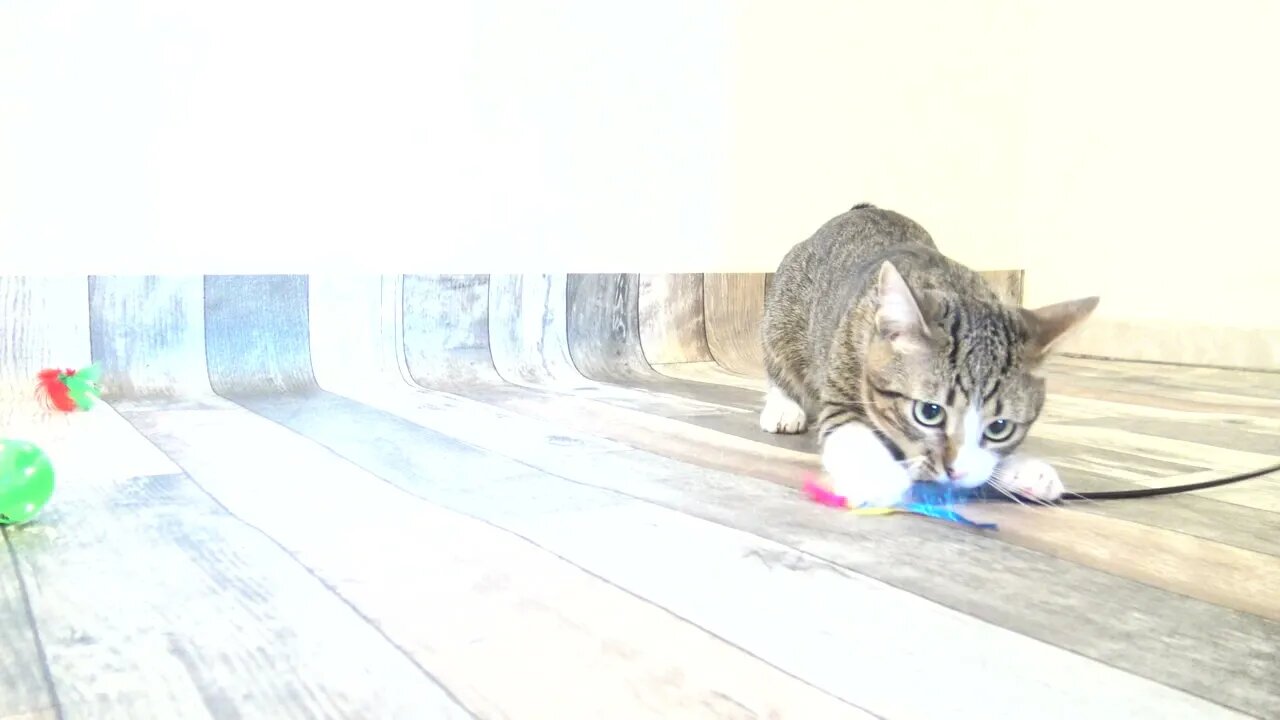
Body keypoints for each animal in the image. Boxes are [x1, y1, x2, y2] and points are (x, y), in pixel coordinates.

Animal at [757, 202, 1100, 504]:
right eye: (929, 413)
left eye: (999, 427)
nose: (956, 471)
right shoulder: (842, 387)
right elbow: (851, 432)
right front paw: (878, 476)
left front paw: (1022, 468)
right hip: (784, 316)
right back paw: (784, 407)